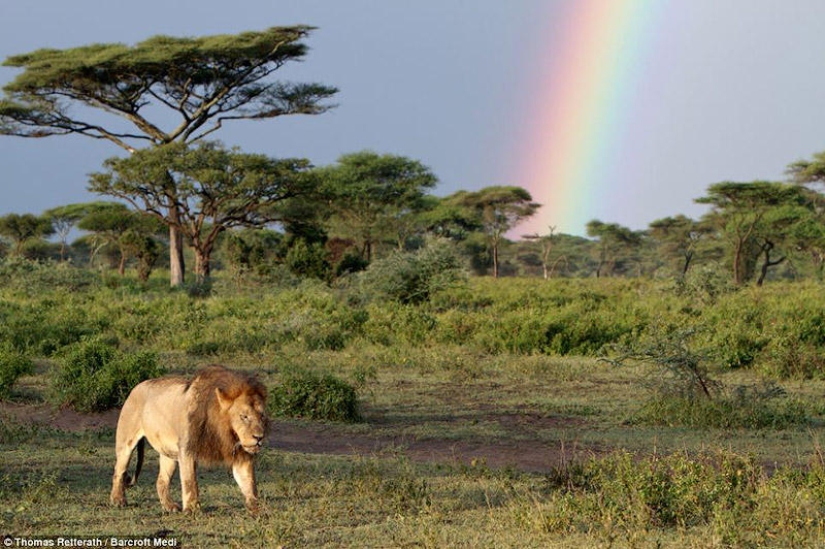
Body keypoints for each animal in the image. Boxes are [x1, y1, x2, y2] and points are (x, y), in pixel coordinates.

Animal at [110, 365, 268, 512]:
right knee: (119, 471)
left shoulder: (242, 454)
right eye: (244, 416)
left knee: (161, 481)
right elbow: (190, 481)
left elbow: (249, 482)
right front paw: (192, 509)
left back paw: (170, 506)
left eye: (262, 416)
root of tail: (137, 386)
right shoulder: (187, 449)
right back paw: (118, 500)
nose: (259, 437)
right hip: (126, 442)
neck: (223, 431)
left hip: (169, 454)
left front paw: (257, 508)